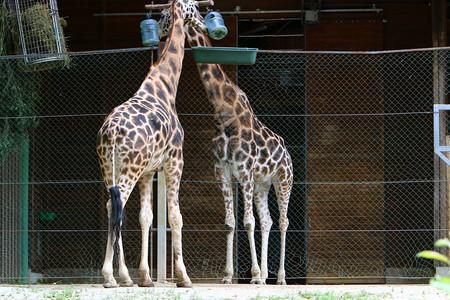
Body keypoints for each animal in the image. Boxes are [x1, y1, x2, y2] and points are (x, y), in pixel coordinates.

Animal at [96, 0, 209, 288]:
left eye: (162, 16)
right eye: (196, 8)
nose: (204, 26)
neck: (165, 86)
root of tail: (111, 132)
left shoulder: (149, 171)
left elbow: (146, 217)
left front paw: (146, 276)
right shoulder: (174, 161)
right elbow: (175, 217)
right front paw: (183, 277)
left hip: (109, 167)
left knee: (112, 207)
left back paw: (121, 276)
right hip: (129, 168)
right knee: (117, 206)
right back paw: (115, 276)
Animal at [158, 12, 296, 284]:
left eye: (165, 16)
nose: (159, 32)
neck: (224, 113)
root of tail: (287, 155)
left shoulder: (244, 171)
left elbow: (248, 222)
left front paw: (253, 274)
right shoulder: (223, 170)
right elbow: (231, 222)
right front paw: (229, 275)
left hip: (283, 180)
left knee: (283, 221)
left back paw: (280, 278)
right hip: (263, 184)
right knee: (268, 221)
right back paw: (266, 275)